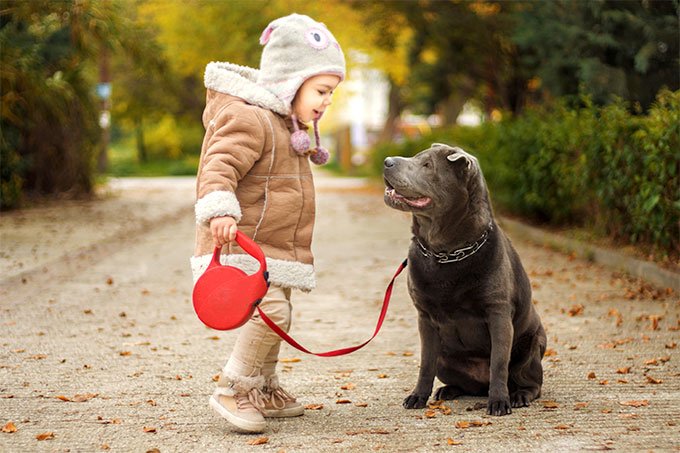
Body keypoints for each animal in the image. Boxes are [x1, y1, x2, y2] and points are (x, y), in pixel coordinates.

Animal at [382, 143, 548, 414]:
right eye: (416, 157)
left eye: (427, 165)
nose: (386, 161)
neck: (445, 252)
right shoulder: (425, 318)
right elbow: (425, 364)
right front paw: (418, 396)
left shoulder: (498, 313)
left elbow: (499, 362)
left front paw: (499, 402)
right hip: (445, 358)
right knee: (460, 381)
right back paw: (448, 390)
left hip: (531, 346)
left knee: (531, 381)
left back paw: (519, 395)